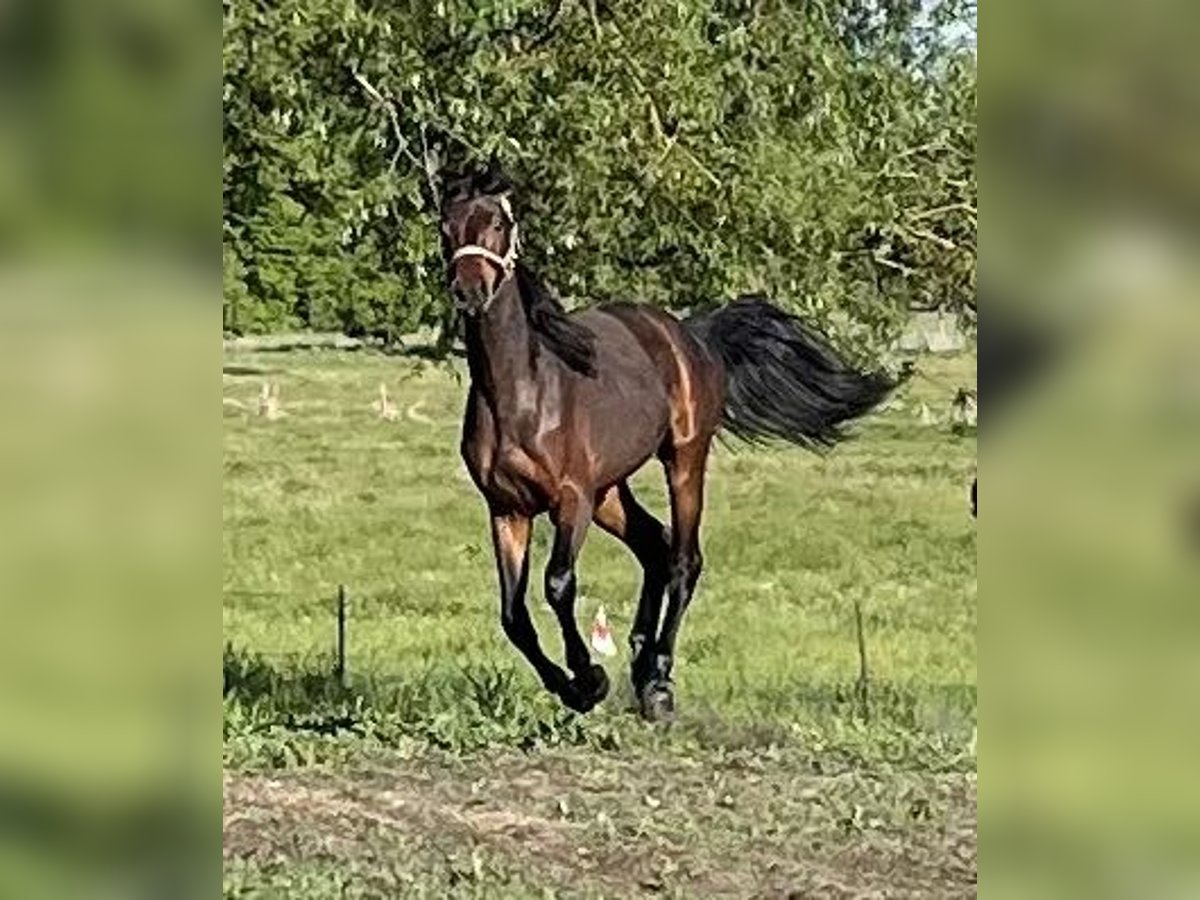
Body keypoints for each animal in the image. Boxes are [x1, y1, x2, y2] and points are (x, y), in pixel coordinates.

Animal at [441, 168, 896, 721]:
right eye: (446, 226)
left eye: (499, 224)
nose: (470, 290)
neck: (520, 394)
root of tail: (688, 333)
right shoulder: (507, 509)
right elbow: (513, 615)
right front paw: (572, 686)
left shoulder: (571, 499)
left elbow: (558, 584)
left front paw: (589, 678)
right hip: (609, 492)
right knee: (655, 545)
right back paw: (640, 668)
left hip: (681, 460)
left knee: (682, 559)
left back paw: (658, 681)